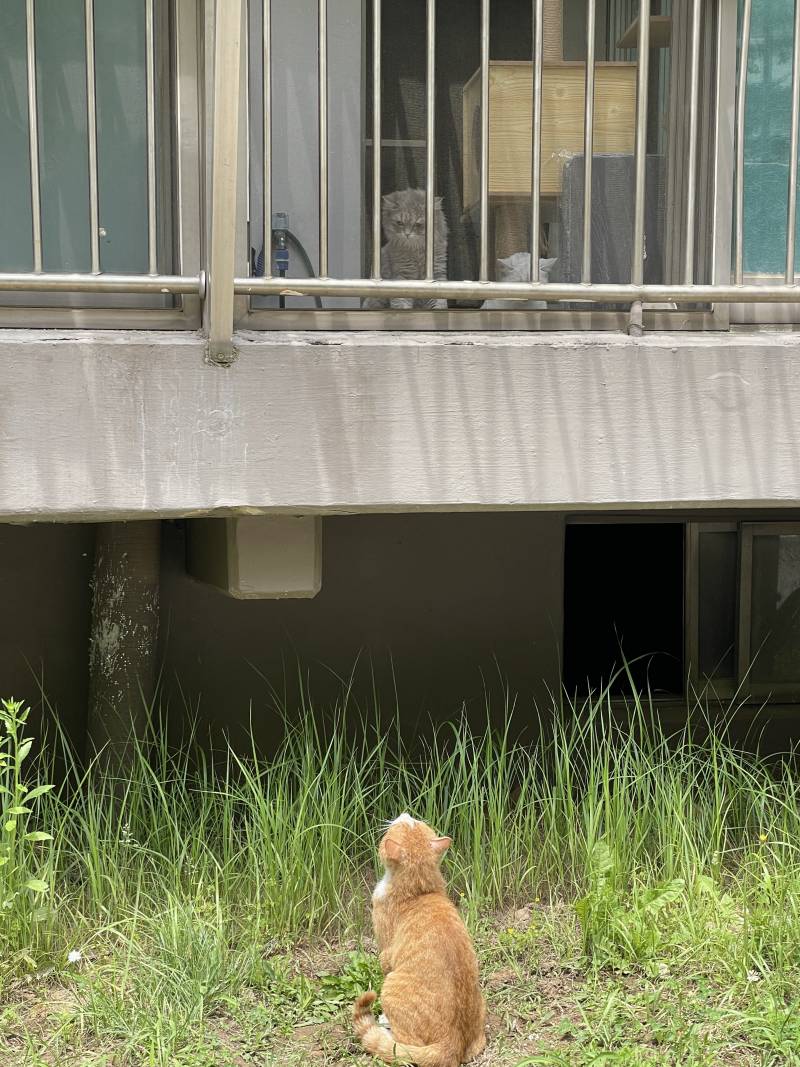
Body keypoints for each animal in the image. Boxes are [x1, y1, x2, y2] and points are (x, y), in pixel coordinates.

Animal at [354, 810, 486, 1062]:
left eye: (407, 823)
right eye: (415, 822)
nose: (405, 813)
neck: (419, 892)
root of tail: (453, 1042)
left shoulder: (385, 954)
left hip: (390, 987)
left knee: (402, 1048)